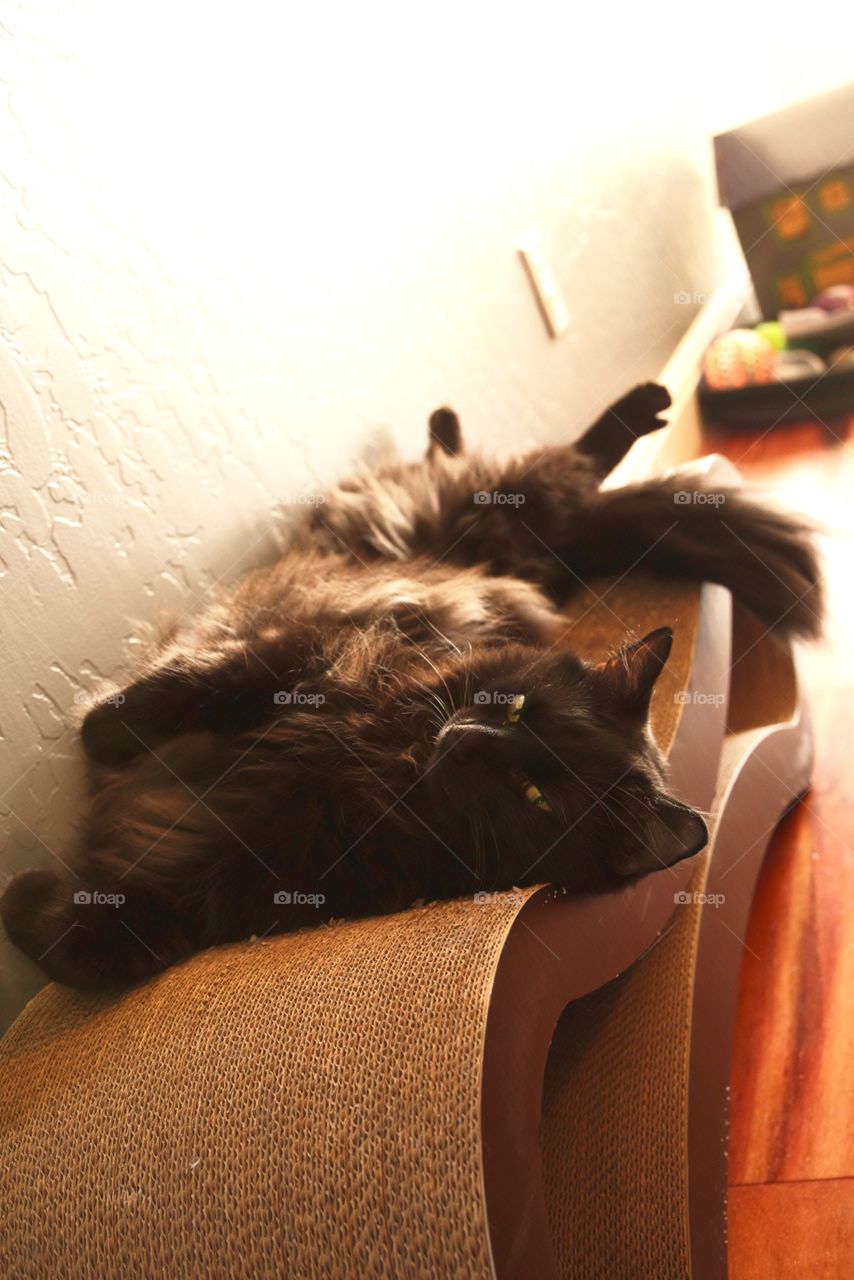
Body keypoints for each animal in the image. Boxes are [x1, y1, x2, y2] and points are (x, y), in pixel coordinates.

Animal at [1, 384, 829, 993]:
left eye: (536, 795)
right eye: (517, 708)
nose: (465, 739)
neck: (378, 768)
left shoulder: (216, 895)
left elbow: (110, 946)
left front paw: (22, 891)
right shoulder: (312, 652)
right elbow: (190, 689)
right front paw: (102, 730)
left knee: (547, 476)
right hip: (487, 514)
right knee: (541, 464)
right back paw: (607, 407)